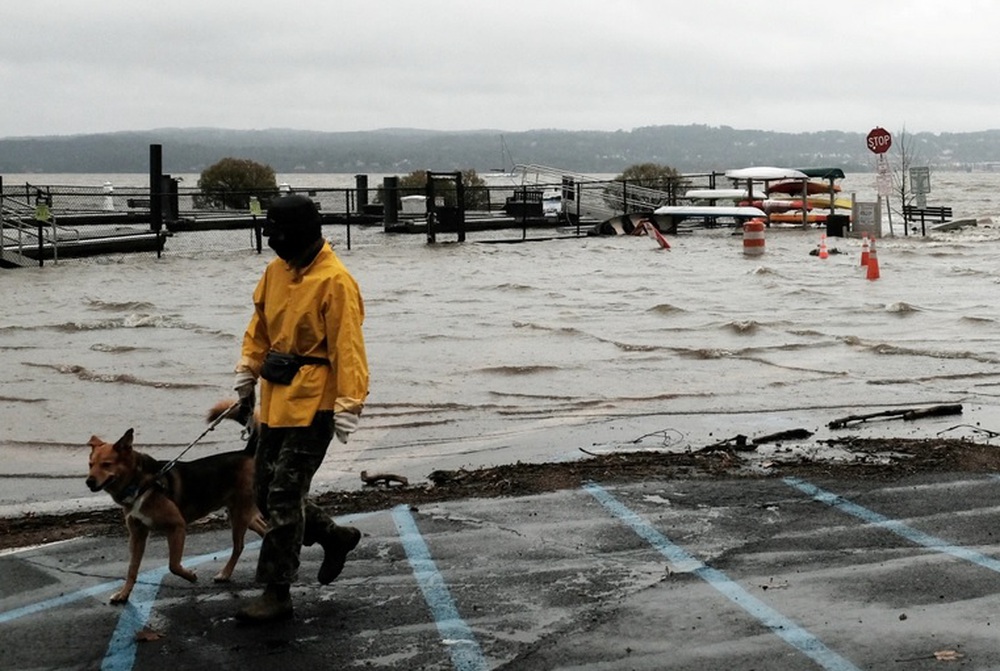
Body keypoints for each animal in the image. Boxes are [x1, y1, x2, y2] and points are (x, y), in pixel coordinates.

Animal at [86, 402, 264, 608]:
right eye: (90, 464)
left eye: (106, 464)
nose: (88, 482)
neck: (140, 484)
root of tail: (246, 453)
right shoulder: (137, 535)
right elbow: (132, 569)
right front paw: (124, 594)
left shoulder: (176, 527)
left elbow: (173, 565)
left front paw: (191, 576)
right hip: (240, 513)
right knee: (263, 528)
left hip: (239, 515)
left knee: (239, 546)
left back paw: (225, 573)